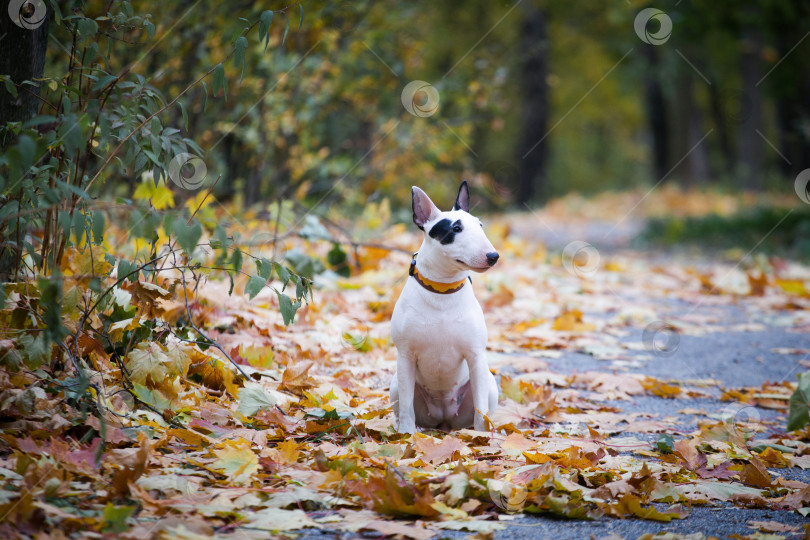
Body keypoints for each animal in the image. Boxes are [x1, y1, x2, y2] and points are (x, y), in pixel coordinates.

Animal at [392, 181, 498, 434]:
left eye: (480, 225)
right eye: (456, 228)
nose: (493, 256)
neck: (442, 290)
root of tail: (444, 420)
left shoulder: (475, 355)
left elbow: (481, 410)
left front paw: (481, 439)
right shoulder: (405, 355)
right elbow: (406, 405)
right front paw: (406, 436)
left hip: (489, 384)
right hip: (394, 384)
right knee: (402, 407)